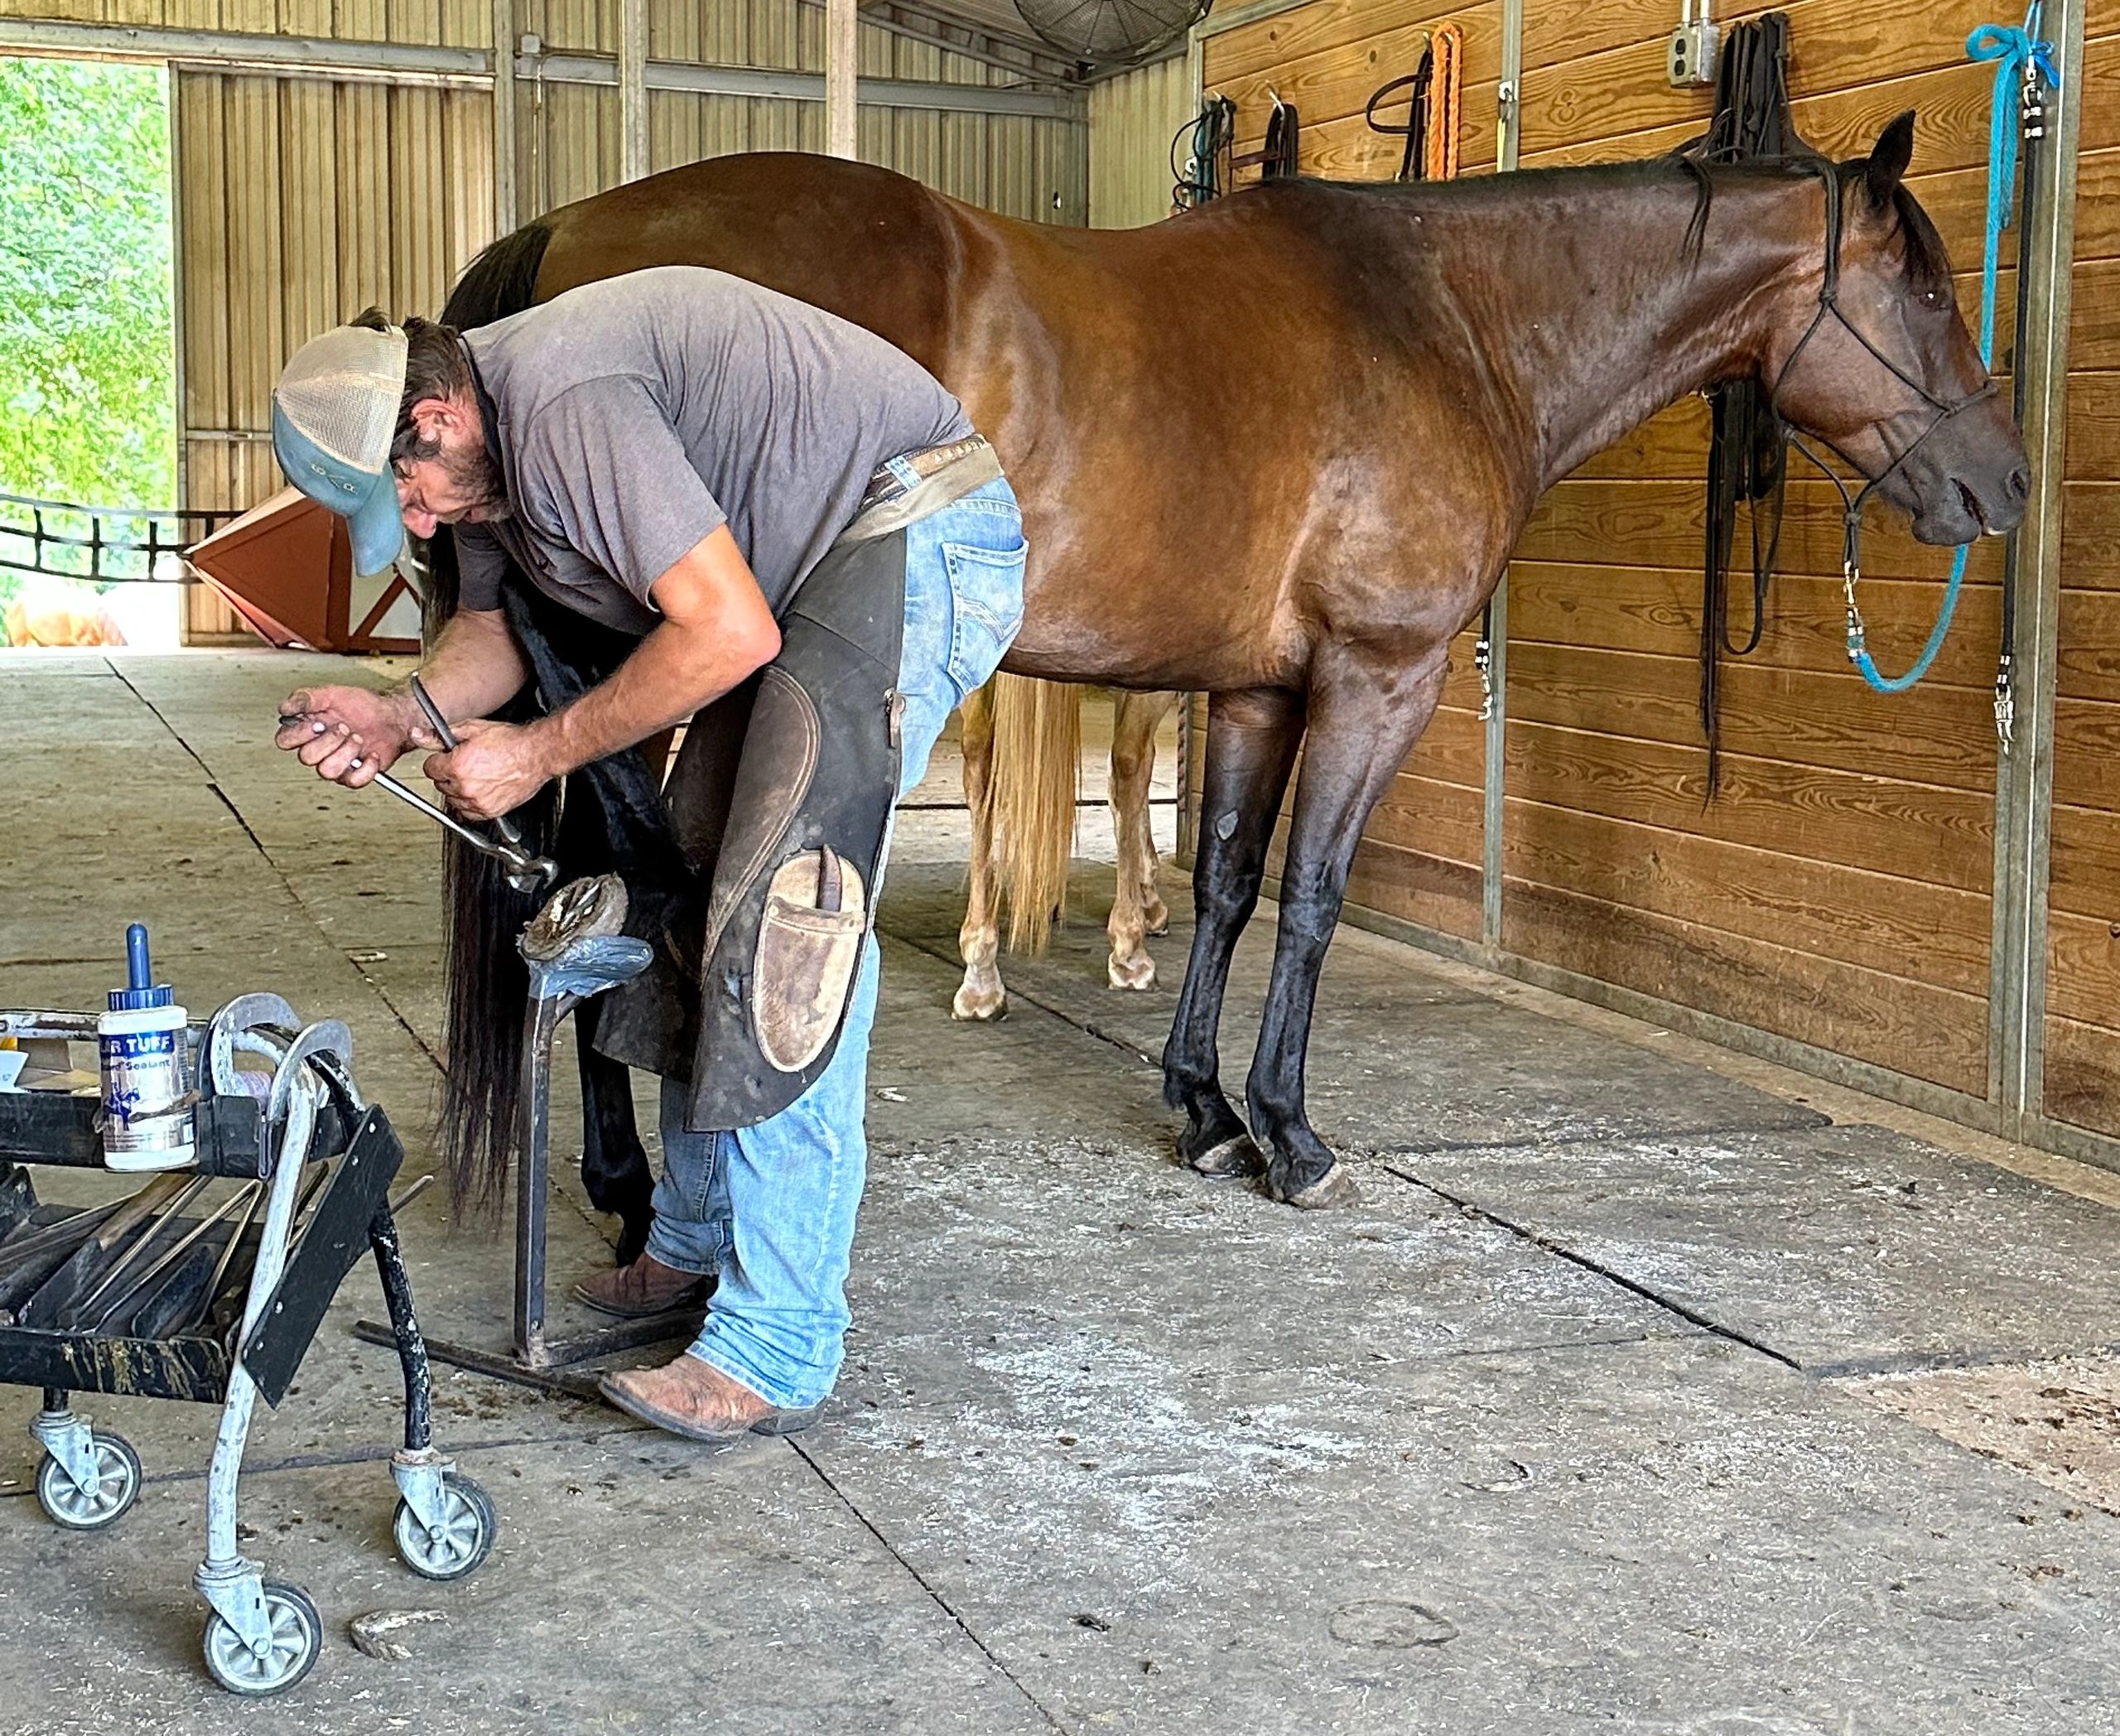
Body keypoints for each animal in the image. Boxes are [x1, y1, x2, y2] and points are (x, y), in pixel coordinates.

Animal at [430, 112, 2026, 1225]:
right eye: (1931, 290)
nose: (2003, 483)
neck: (1454, 318)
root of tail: (571, 237)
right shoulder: (1382, 678)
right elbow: (1312, 898)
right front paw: (1292, 1134)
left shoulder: (1258, 689)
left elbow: (1226, 882)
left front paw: (1201, 1110)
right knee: (618, 875)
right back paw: (632, 1180)